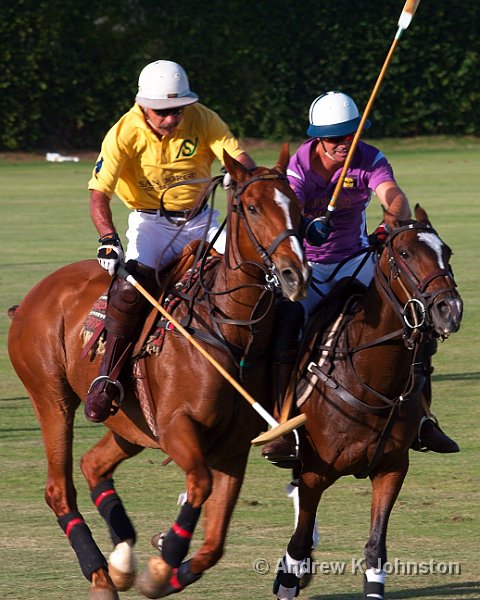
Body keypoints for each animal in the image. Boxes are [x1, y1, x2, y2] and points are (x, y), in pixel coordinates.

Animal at [8, 146, 312, 600]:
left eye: (297, 206)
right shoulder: (174, 426)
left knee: (93, 464)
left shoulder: (233, 448)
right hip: (51, 397)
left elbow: (214, 544)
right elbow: (199, 483)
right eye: (252, 208)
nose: (296, 276)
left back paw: (120, 562)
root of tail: (28, 299)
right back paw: (101, 576)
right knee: (58, 488)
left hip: (130, 424)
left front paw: (165, 572)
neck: (226, 327)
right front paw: (162, 564)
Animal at [272, 206, 464, 600]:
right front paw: (289, 577)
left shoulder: (392, 467)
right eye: (404, 253)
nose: (450, 310)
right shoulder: (316, 471)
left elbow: (376, 547)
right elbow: (297, 544)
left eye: (447, 252)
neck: (370, 375)